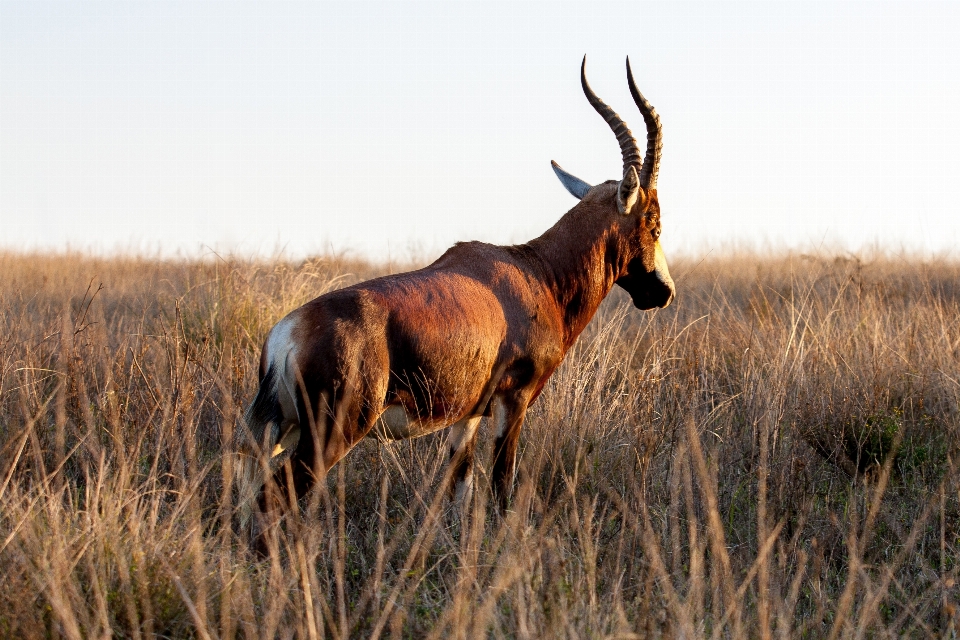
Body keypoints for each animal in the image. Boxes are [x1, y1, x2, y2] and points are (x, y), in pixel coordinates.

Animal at [238, 57, 676, 532]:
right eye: (654, 222)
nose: (663, 292)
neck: (534, 271)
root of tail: (287, 335)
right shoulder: (514, 398)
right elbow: (501, 482)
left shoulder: (468, 413)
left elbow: (459, 488)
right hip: (329, 435)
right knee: (269, 501)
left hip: (280, 429)